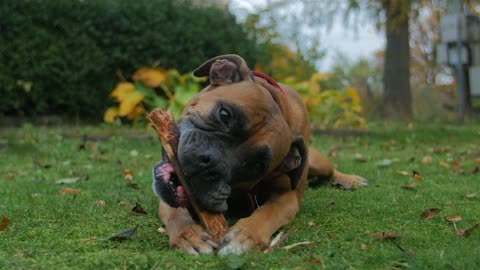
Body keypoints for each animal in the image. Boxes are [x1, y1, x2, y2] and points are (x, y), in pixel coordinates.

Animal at [152, 54, 366, 255]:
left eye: (255, 166)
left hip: (318, 163)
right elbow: (176, 212)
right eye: (224, 114)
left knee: (331, 171)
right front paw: (188, 235)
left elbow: (267, 213)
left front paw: (245, 235)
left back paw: (351, 179)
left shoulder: (287, 198)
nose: (210, 162)